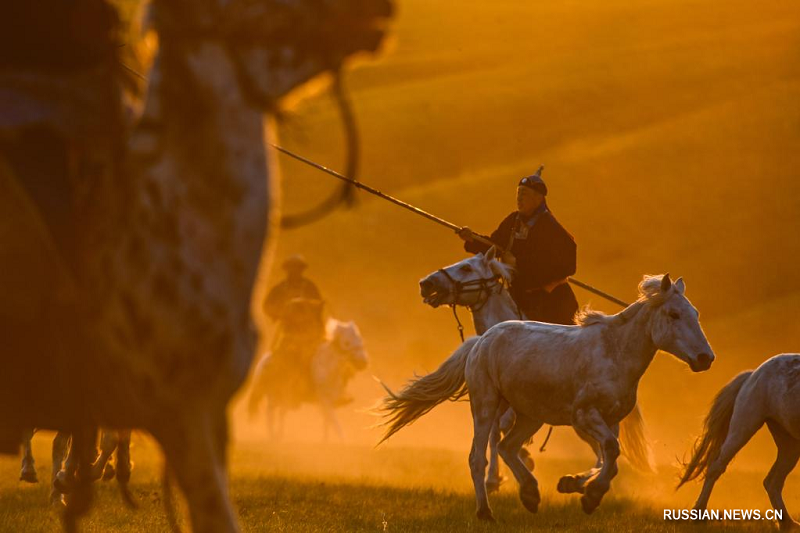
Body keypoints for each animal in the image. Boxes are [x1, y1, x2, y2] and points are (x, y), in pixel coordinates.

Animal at [382, 274, 712, 520]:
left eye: (696, 314)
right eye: (673, 314)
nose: (705, 358)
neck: (614, 352)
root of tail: (482, 339)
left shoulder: (612, 419)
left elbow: (610, 457)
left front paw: (577, 487)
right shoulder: (584, 416)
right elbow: (609, 450)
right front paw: (590, 496)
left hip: (530, 415)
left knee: (507, 446)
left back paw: (530, 494)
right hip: (486, 405)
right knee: (478, 456)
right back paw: (486, 512)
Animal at [412, 249, 656, 490]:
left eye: (466, 267)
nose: (427, 283)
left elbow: (501, 429)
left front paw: (519, 463)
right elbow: (495, 433)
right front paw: (497, 476)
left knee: (602, 452)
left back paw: (581, 482)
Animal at [680, 352, 800, 528]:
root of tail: (753, 374)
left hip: (790, 443)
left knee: (773, 482)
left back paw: (788, 524)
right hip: (743, 427)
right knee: (716, 467)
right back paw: (698, 513)